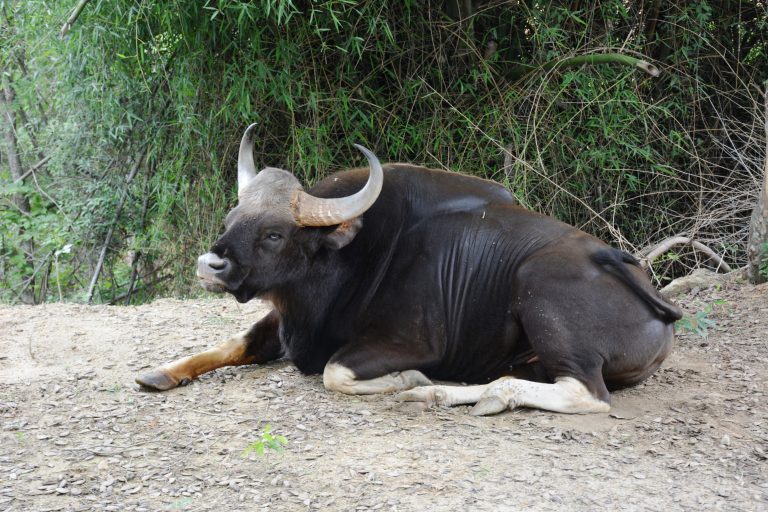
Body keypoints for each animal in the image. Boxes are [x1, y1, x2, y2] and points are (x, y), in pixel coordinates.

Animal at [135, 125, 680, 416]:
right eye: (231, 219)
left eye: (273, 234)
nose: (212, 265)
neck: (352, 261)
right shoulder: (287, 320)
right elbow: (236, 341)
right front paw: (163, 372)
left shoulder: (410, 343)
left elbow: (335, 371)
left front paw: (409, 379)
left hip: (539, 287)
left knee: (587, 394)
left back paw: (442, 391)